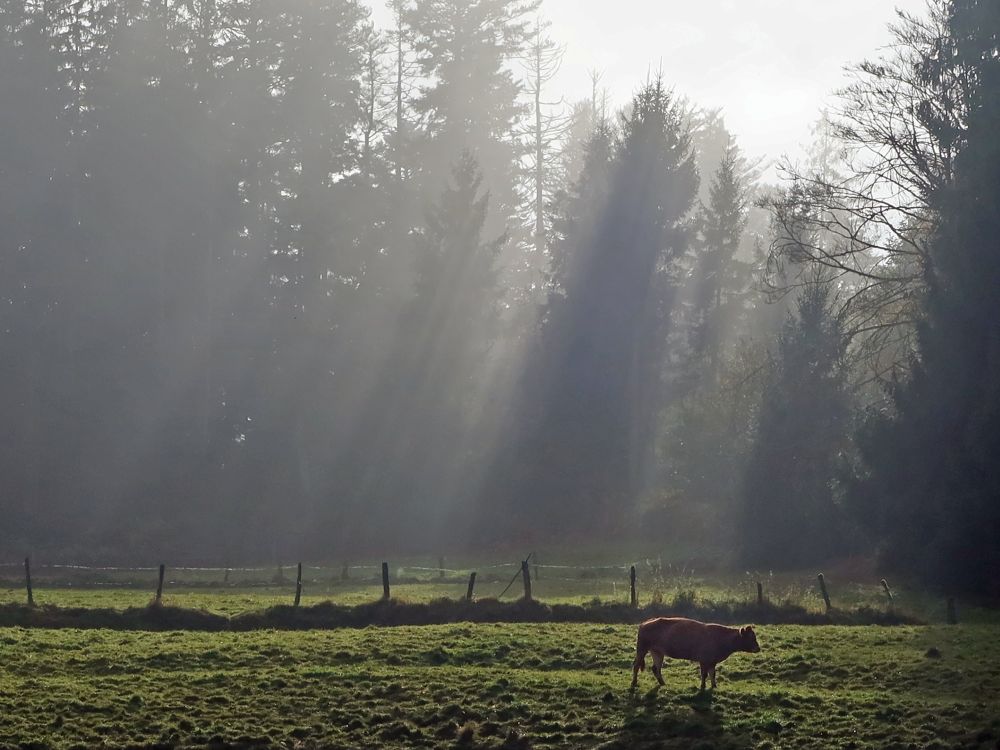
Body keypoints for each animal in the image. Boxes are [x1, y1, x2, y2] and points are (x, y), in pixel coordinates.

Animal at [628, 616, 760, 692]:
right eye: (750, 638)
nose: (758, 648)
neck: (721, 638)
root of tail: (645, 622)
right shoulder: (704, 660)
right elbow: (704, 674)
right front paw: (702, 687)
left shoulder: (712, 661)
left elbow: (712, 674)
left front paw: (714, 686)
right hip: (642, 649)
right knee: (636, 665)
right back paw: (634, 683)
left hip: (657, 652)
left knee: (656, 668)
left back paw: (663, 683)